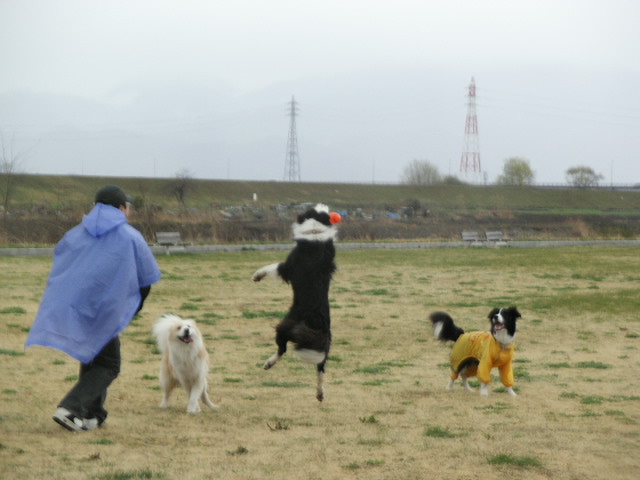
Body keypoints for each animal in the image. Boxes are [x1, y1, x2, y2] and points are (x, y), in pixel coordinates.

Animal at [251, 202, 342, 402]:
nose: (322, 205)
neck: (316, 230)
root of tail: (315, 323)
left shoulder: (287, 267)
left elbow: (271, 267)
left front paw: (257, 276)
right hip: (327, 344)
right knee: (321, 367)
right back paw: (320, 394)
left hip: (285, 326)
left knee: (282, 348)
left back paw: (268, 364)